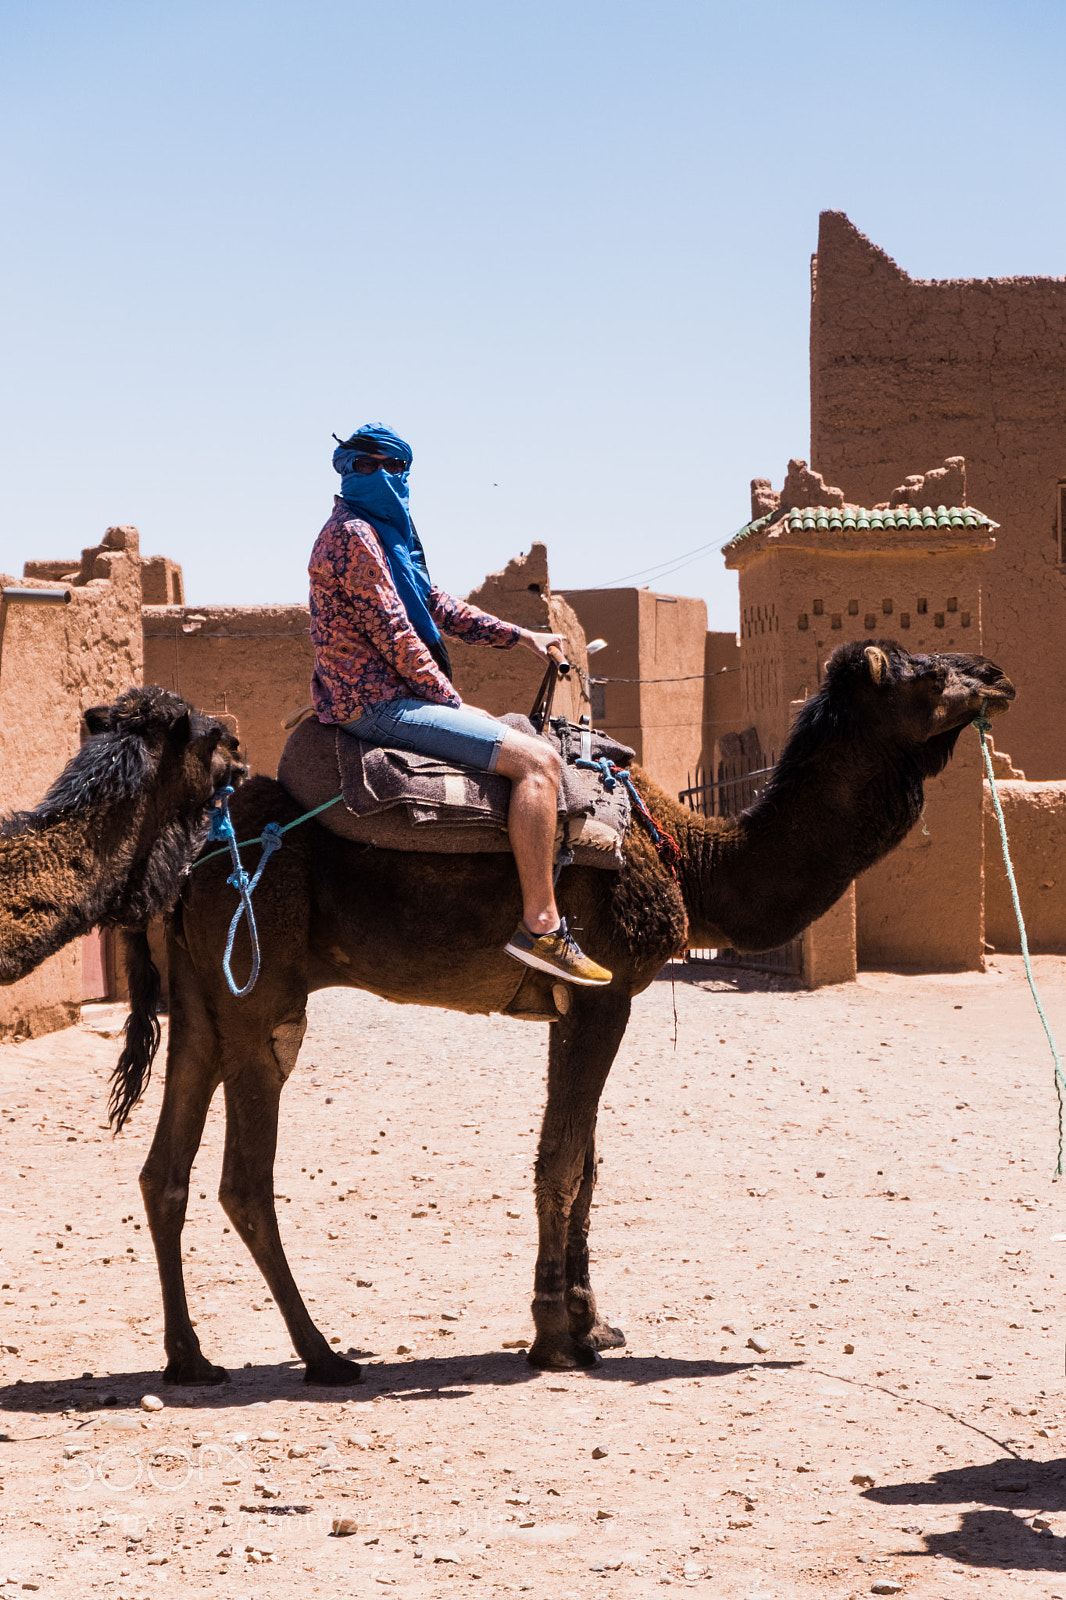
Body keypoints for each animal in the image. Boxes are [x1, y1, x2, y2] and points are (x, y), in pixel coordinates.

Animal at [115, 641, 1014, 1385]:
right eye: (924, 672)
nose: (997, 674)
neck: (692, 861)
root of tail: (186, 858)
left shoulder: (568, 1003)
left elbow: (586, 1160)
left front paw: (593, 1325)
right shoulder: (605, 993)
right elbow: (567, 1161)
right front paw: (555, 1337)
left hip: (199, 1005)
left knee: (165, 1171)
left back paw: (190, 1359)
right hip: (259, 994)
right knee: (243, 1180)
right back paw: (323, 1356)